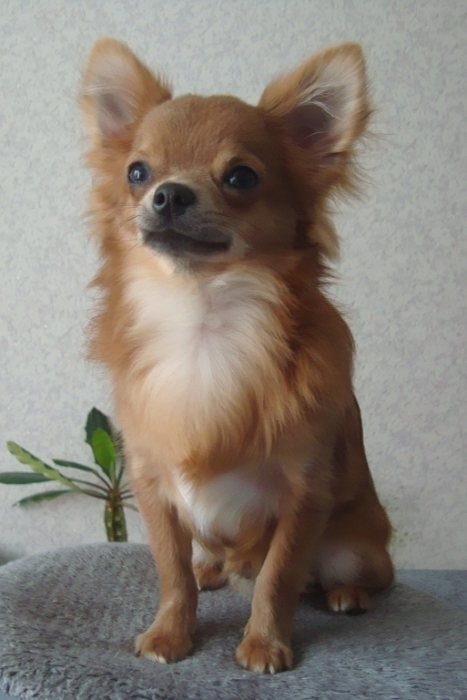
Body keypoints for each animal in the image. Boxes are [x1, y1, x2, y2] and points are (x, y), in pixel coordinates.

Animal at [80, 38, 393, 673]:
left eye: (242, 176)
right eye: (137, 172)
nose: (169, 193)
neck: (202, 318)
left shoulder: (303, 495)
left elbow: (278, 577)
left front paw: (265, 643)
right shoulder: (151, 486)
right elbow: (171, 572)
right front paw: (171, 632)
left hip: (353, 545)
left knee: (345, 574)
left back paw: (347, 593)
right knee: (212, 563)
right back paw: (214, 570)